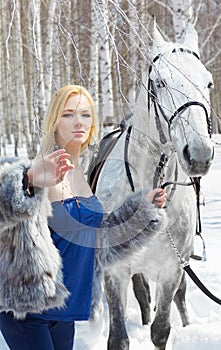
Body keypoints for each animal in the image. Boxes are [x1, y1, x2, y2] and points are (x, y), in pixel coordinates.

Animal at [88, 20, 214, 348]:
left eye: (208, 83)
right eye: (159, 82)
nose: (199, 154)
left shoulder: (171, 270)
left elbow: (161, 329)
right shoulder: (116, 270)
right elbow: (119, 337)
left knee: (177, 297)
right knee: (142, 295)